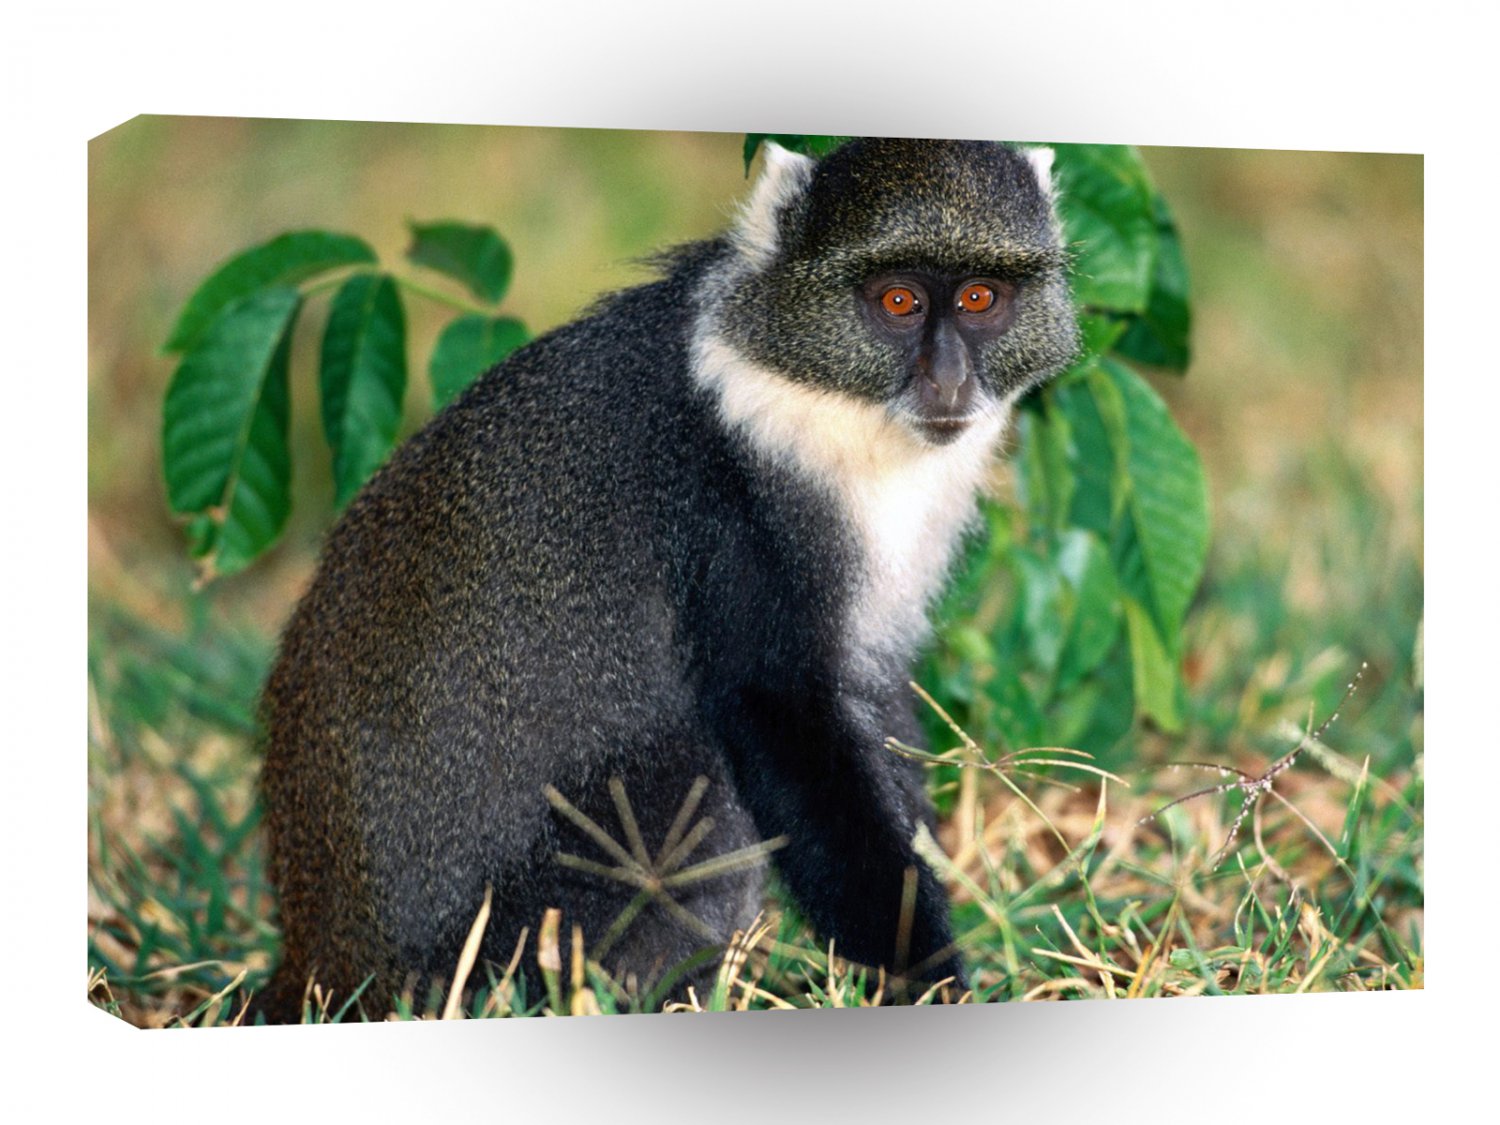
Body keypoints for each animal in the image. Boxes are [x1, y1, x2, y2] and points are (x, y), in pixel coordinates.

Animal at [253, 137, 1078, 1022]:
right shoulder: (732, 514)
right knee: (703, 783)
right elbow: (783, 718)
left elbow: (875, 705)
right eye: (898, 301)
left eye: (980, 297)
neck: (819, 397)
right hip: (504, 937)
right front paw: (929, 981)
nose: (949, 378)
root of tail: (325, 960)